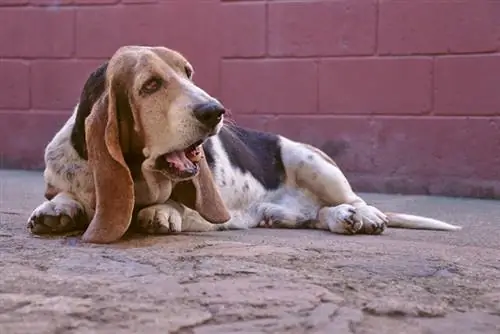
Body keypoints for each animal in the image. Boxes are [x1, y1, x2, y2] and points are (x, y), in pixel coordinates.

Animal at [26, 45, 460, 243]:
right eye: (150, 86)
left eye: (188, 72)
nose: (214, 110)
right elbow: (65, 195)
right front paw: (57, 209)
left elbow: (177, 204)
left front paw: (161, 211)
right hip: (291, 210)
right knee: (318, 216)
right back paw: (340, 219)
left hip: (311, 160)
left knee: (355, 200)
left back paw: (361, 216)